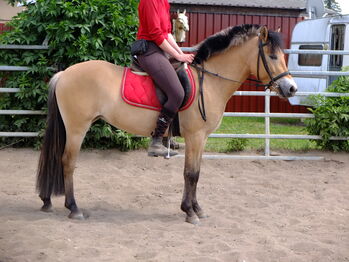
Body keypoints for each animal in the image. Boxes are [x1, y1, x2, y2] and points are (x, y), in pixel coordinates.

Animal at [35, 24, 296, 224]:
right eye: (272, 56)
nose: (291, 88)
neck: (210, 81)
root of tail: (64, 74)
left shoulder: (202, 139)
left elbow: (196, 173)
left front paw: (196, 208)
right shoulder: (194, 136)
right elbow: (190, 173)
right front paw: (189, 212)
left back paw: (47, 201)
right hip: (77, 128)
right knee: (68, 162)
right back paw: (74, 208)